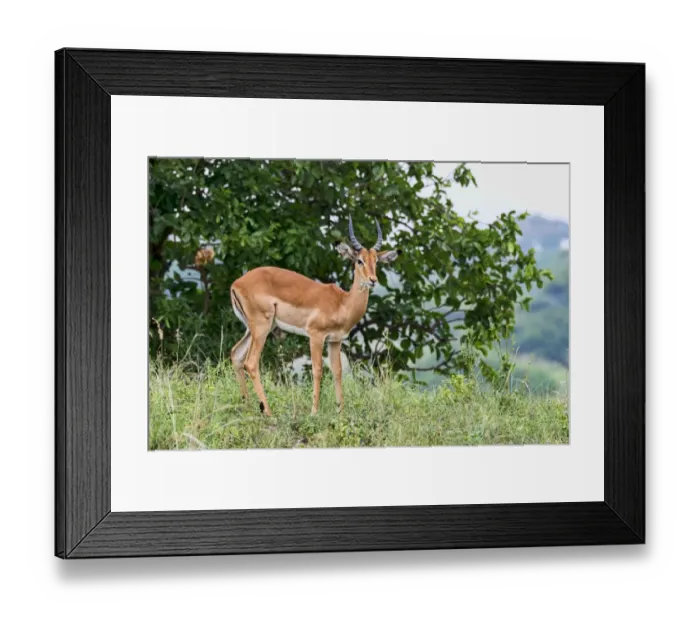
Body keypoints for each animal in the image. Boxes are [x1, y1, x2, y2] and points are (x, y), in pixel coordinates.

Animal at [230, 215, 400, 416]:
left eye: (376, 260)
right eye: (359, 260)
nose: (373, 280)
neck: (342, 303)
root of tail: (236, 283)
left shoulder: (335, 340)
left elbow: (337, 371)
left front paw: (340, 412)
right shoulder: (316, 335)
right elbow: (318, 369)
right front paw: (314, 412)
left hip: (255, 328)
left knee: (236, 354)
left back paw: (248, 408)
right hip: (261, 327)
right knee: (251, 362)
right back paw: (268, 412)